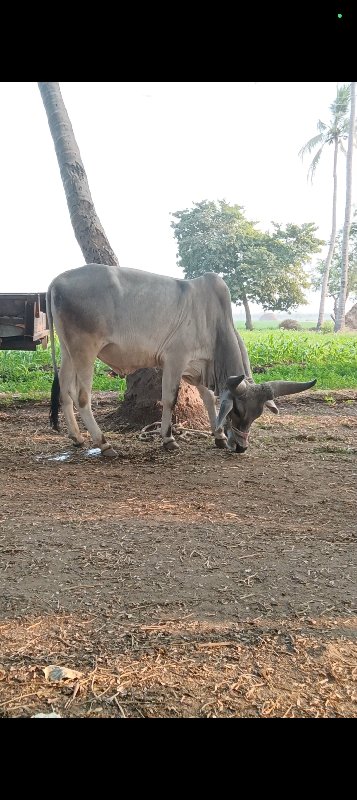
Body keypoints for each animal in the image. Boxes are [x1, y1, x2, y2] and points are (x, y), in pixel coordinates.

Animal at [46, 266, 316, 456]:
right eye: (237, 410)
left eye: (257, 414)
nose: (240, 447)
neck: (213, 320)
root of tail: (57, 280)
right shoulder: (175, 360)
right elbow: (169, 399)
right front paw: (168, 439)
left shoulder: (197, 368)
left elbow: (208, 399)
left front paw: (218, 435)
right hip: (85, 352)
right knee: (82, 397)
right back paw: (104, 444)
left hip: (68, 352)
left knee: (65, 393)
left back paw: (77, 437)